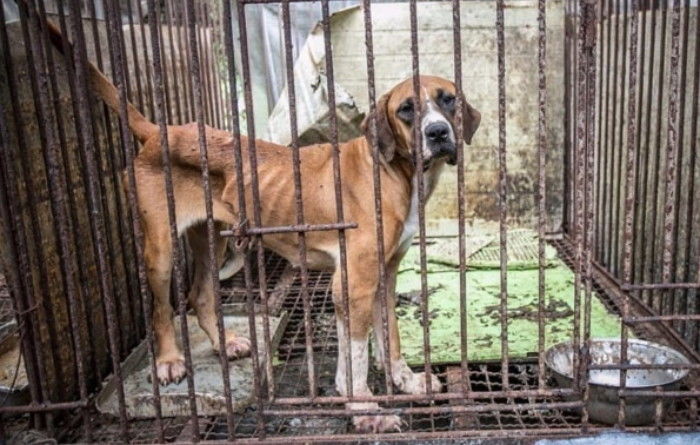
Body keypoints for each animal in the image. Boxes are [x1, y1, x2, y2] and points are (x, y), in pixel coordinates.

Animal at [45, 18, 482, 430]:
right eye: (406, 109)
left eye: (449, 100)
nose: (438, 133)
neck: (392, 173)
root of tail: (160, 132)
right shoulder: (353, 283)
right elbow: (355, 355)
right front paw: (363, 408)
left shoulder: (383, 276)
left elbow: (388, 334)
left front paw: (405, 381)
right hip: (161, 249)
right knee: (162, 308)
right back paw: (169, 360)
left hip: (211, 240)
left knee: (200, 295)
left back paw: (224, 343)